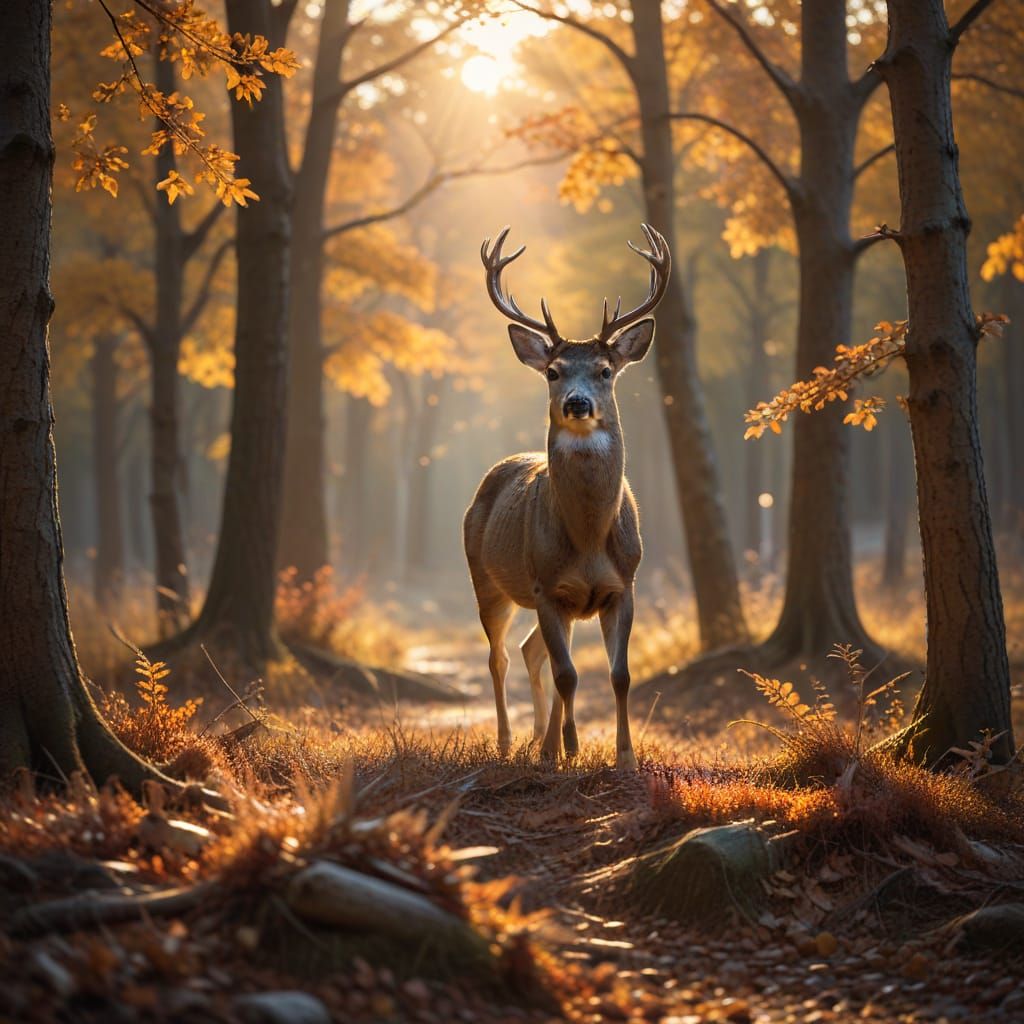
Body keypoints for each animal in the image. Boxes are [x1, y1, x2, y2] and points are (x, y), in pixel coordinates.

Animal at [463, 224, 670, 771]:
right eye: (553, 372)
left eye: (605, 369)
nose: (577, 404)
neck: (589, 540)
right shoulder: (544, 585)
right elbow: (568, 673)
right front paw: (568, 751)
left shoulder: (623, 584)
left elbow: (618, 674)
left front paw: (624, 756)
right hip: (486, 578)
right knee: (501, 655)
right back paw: (512, 741)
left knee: (533, 650)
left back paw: (542, 737)